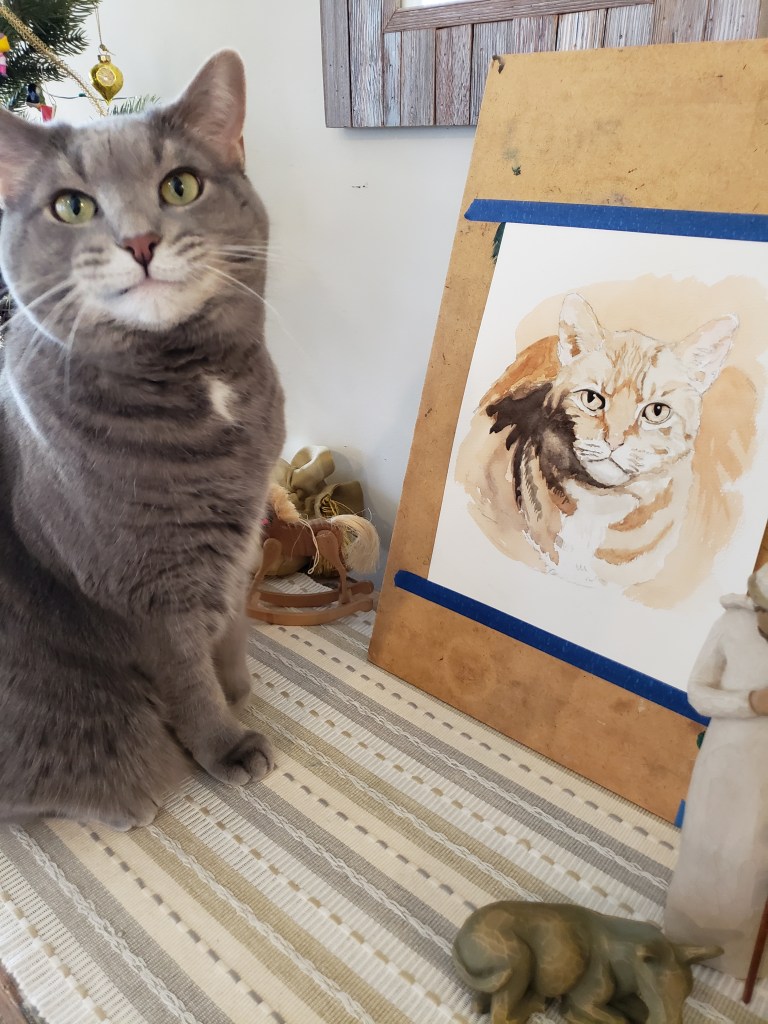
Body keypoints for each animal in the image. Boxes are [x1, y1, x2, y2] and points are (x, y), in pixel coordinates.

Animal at [0, 51, 285, 828]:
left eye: (179, 186)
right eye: (72, 206)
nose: (139, 241)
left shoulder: (240, 540)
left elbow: (232, 629)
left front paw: (240, 686)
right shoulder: (141, 585)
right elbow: (187, 674)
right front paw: (226, 741)